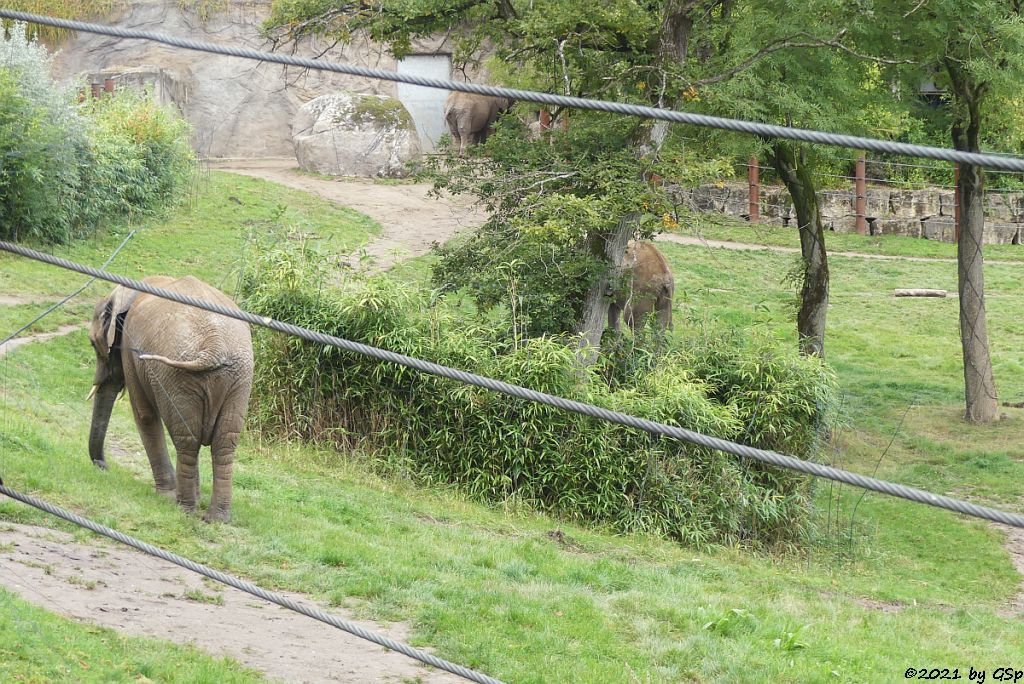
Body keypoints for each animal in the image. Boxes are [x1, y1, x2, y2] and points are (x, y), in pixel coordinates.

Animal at [90, 274, 253, 520]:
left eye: (93, 343)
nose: (104, 467)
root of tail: (214, 348)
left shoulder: (130, 346)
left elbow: (144, 415)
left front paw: (165, 495)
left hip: (180, 377)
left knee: (187, 440)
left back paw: (184, 508)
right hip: (238, 380)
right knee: (224, 443)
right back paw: (216, 518)